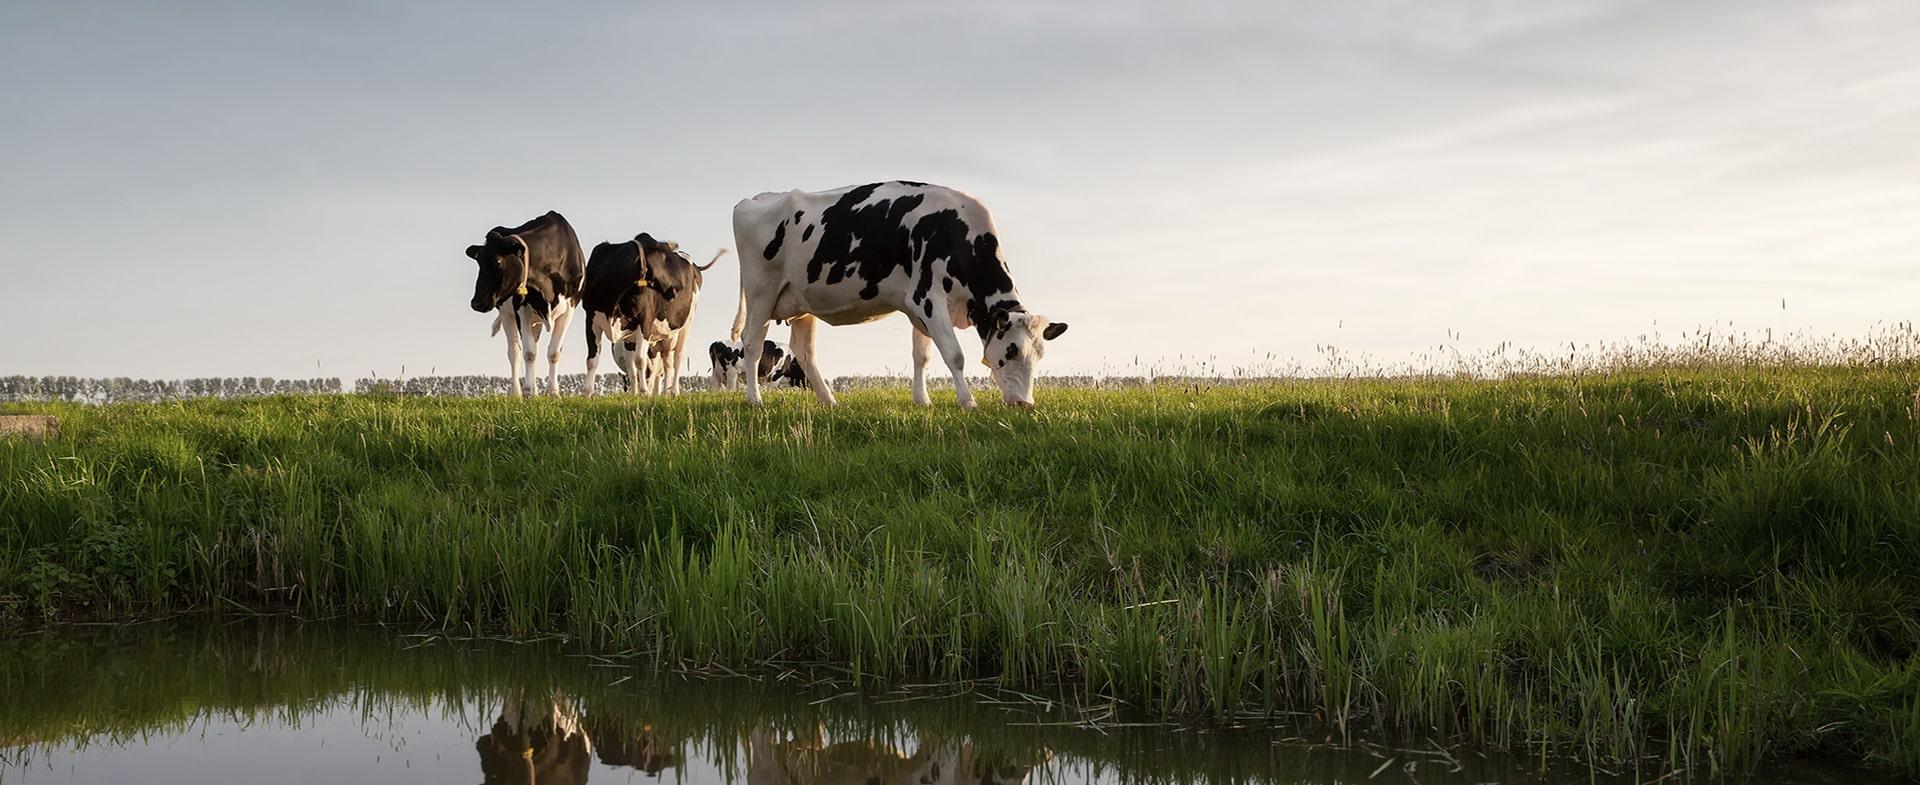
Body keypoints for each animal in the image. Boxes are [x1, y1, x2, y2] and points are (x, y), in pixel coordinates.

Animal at [464, 209, 583, 397]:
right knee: (514, 352)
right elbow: (528, 352)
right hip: (506, 314)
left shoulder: (570, 308)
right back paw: (517, 393)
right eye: (478, 261)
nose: (477, 303)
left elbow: (554, 352)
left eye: (497, 261)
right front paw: (529, 392)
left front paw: (553, 392)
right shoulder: (520, 308)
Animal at [576, 231, 725, 391]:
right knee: (667, 362)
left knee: (678, 357)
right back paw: (665, 392)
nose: (679, 287)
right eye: (664, 257)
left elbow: (640, 361)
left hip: (687, 323)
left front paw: (644, 392)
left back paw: (674, 391)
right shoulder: (592, 321)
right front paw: (587, 392)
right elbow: (592, 360)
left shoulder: (644, 322)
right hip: (666, 335)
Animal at [729, 179, 1067, 406]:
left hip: (802, 303)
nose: (1025, 404)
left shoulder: (919, 306)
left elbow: (922, 356)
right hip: (761, 292)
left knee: (804, 351)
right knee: (753, 344)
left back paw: (829, 401)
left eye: (1040, 355)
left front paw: (923, 401)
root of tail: (758, 197)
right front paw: (968, 402)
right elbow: (954, 355)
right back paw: (755, 400)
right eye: (1012, 350)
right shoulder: (929, 299)